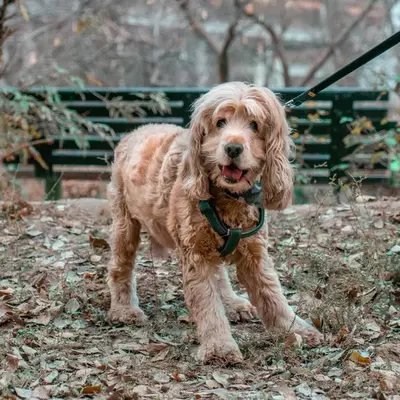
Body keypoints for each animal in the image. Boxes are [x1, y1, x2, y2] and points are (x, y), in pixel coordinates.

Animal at [106, 80, 322, 362]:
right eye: (220, 122)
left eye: (254, 125)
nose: (233, 148)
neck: (227, 196)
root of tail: (136, 131)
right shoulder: (195, 254)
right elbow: (207, 302)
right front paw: (220, 346)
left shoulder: (254, 252)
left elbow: (272, 294)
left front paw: (296, 329)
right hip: (125, 222)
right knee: (120, 266)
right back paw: (124, 310)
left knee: (220, 274)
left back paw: (232, 303)